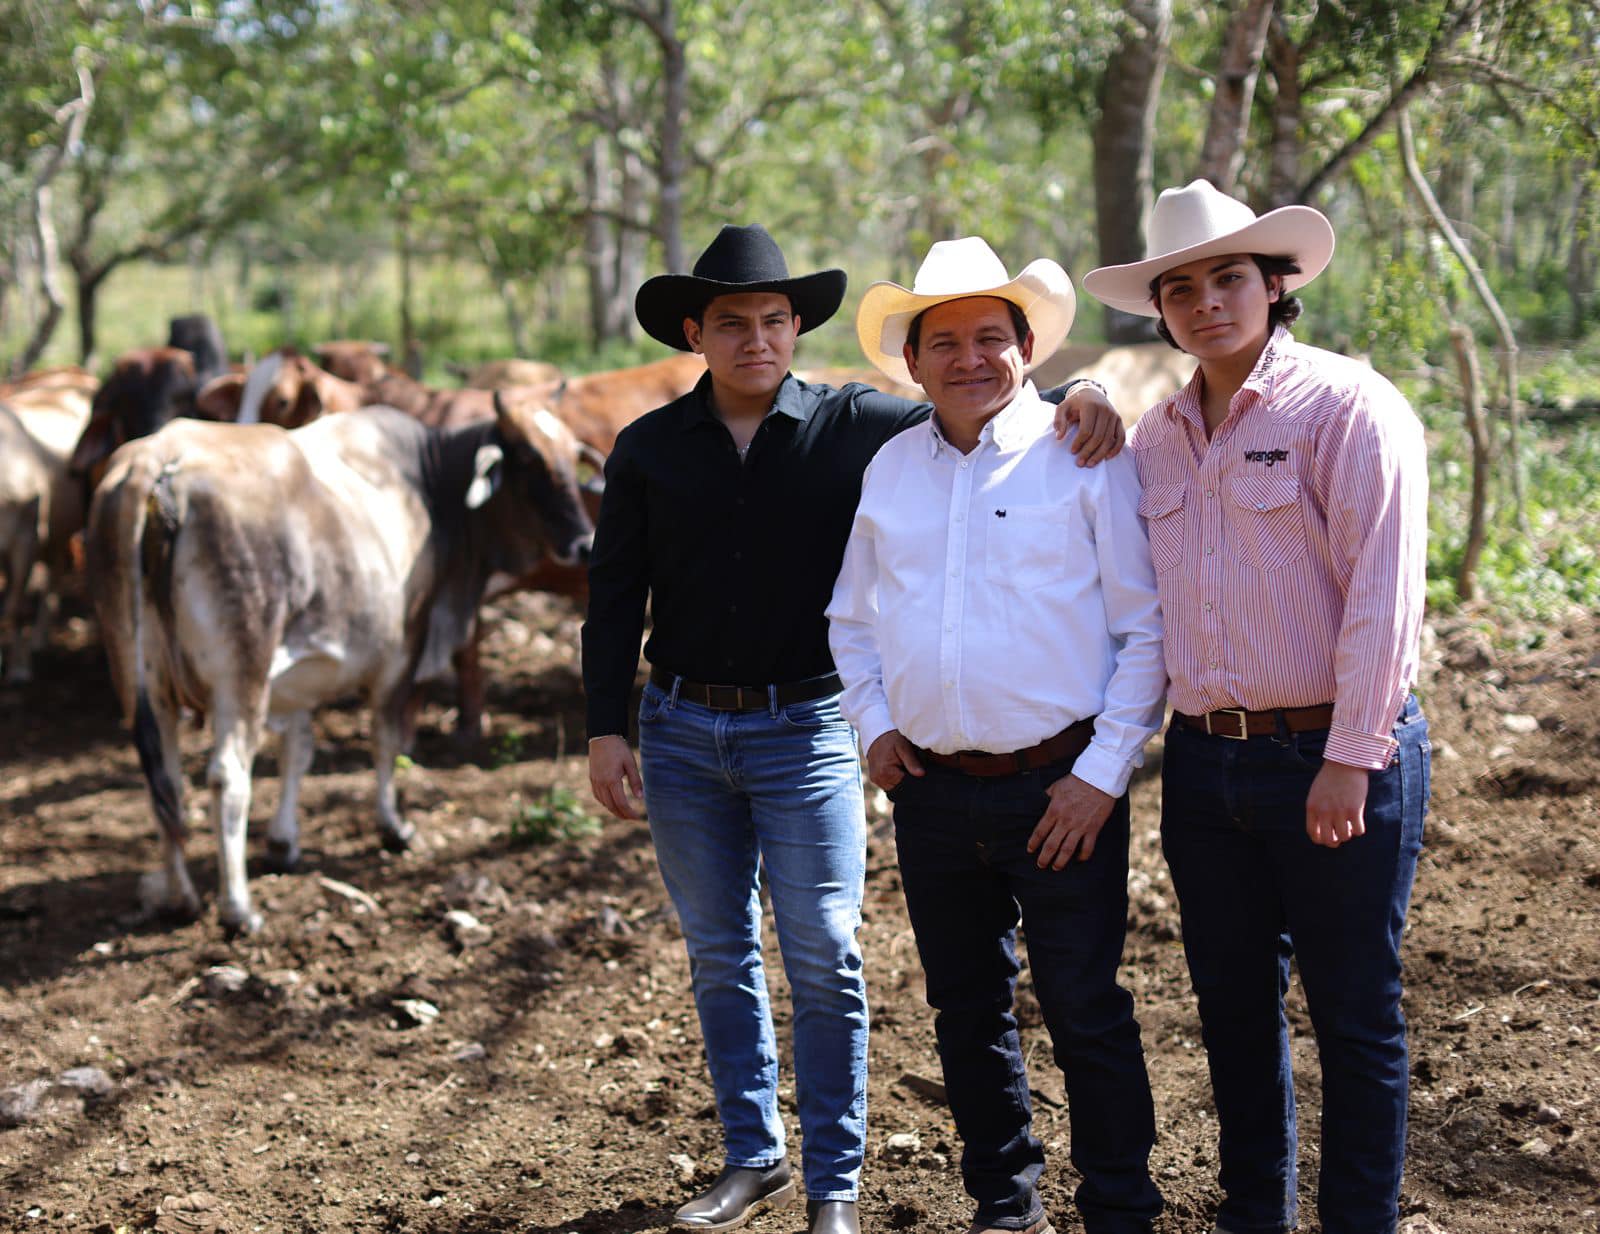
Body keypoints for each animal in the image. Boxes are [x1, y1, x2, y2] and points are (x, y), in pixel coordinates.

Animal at [84, 395, 595, 934]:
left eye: (570, 457)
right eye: (529, 461)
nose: (584, 543)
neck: (428, 485)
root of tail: (157, 460)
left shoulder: (296, 680)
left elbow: (299, 751)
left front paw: (284, 841)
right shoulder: (401, 652)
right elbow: (385, 740)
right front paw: (392, 826)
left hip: (142, 677)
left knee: (165, 779)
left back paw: (180, 896)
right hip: (241, 671)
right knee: (227, 777)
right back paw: (238, 907)